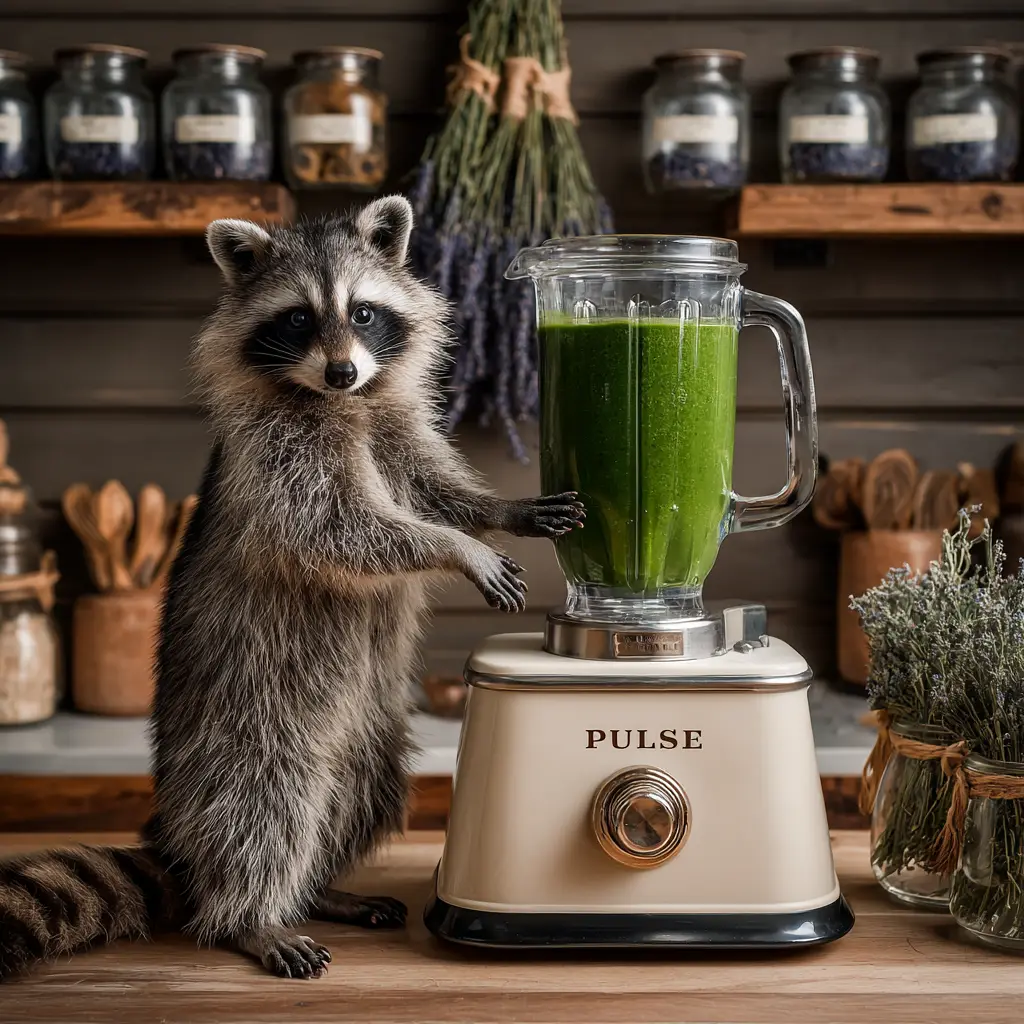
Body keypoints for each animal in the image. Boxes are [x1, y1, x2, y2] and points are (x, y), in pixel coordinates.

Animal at [0, 196, 584, 980]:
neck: (342, 402)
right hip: (248, 719)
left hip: (366, 732)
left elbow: (433, 488)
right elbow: (341, 530)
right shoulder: (278, 457)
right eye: (299, 318)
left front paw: (499, 512)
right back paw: (250, 915)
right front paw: (457, 549)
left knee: (364, 788)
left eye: (363, 312)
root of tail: (179, 851)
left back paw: (319, 888)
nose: (340, 371)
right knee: (263, 806)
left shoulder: (393, 427)